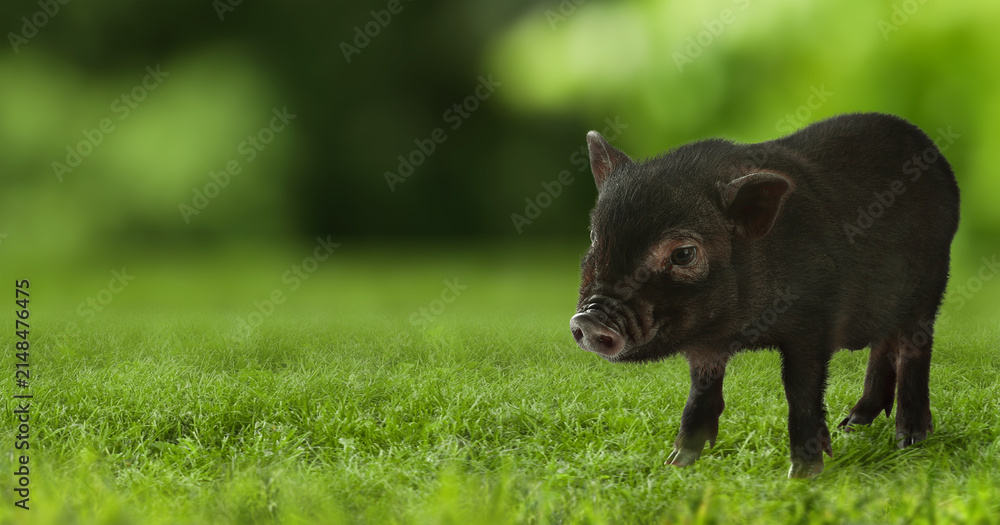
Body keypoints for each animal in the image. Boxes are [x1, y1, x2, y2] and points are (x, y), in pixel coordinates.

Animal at [570, 113, 959, 478]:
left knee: (914, 347)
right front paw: (677, 463)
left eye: (683, 254)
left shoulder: (814, 322)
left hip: (931, 281)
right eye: (594, 236)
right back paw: (852, 424)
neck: (742, 328)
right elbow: (701, 391)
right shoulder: (706, 346)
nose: (589, 319)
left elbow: (800, 391)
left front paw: (804, 474)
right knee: (884, 344)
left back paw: (909, 440)